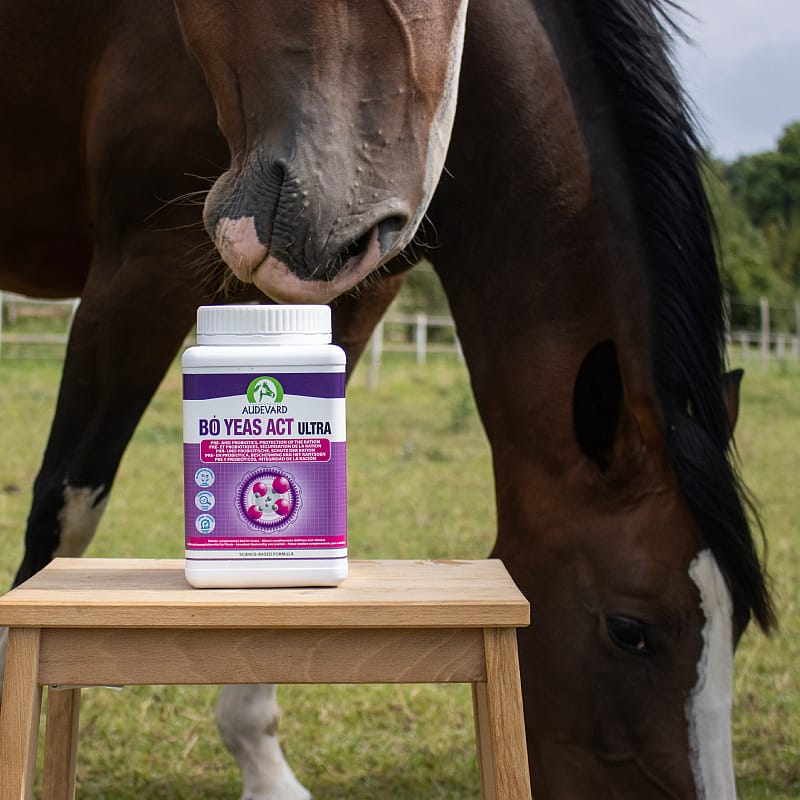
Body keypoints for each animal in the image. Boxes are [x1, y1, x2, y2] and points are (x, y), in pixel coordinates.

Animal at [0, 1, 775, 798]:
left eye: (742, 624)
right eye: (630, 630)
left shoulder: (352, 286)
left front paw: (264, 765)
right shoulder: (142, 268)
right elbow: (63, 514)